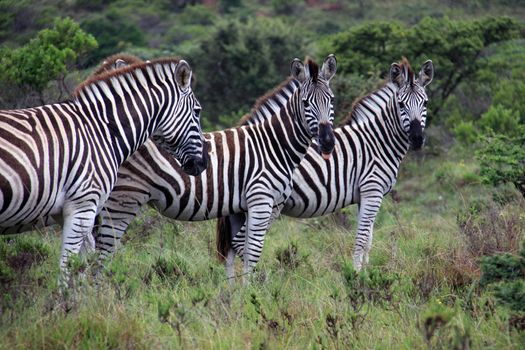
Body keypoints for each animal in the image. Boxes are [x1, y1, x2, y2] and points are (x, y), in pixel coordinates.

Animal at [0, 58, 209, 282]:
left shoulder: (69, 212)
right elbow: (69, 268)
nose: (203, 163)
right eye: (197, 111)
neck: (102, 130)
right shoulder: (83, 206)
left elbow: (82, 265)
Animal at [92, 54, 336, 282]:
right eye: (305, 103)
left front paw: (233, 294)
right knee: (102, 251)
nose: (327, 142)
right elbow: (251, 251)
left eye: (332, 100)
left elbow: (233, 250)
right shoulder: (262, 201)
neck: (274, 145)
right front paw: (251, 292)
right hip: (123, 200)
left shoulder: (239, 209)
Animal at [217, 57, 434, 272]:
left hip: (239, 208)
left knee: (231, 249)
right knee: (239, 244)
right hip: (264, 204)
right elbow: (361, 239)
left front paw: (367, 273)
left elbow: (369, 241)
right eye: (401, 104)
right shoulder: (372, 190)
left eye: (425, 103)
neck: (378, 141)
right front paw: (357, 276)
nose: (417, 139)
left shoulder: (365, 196)